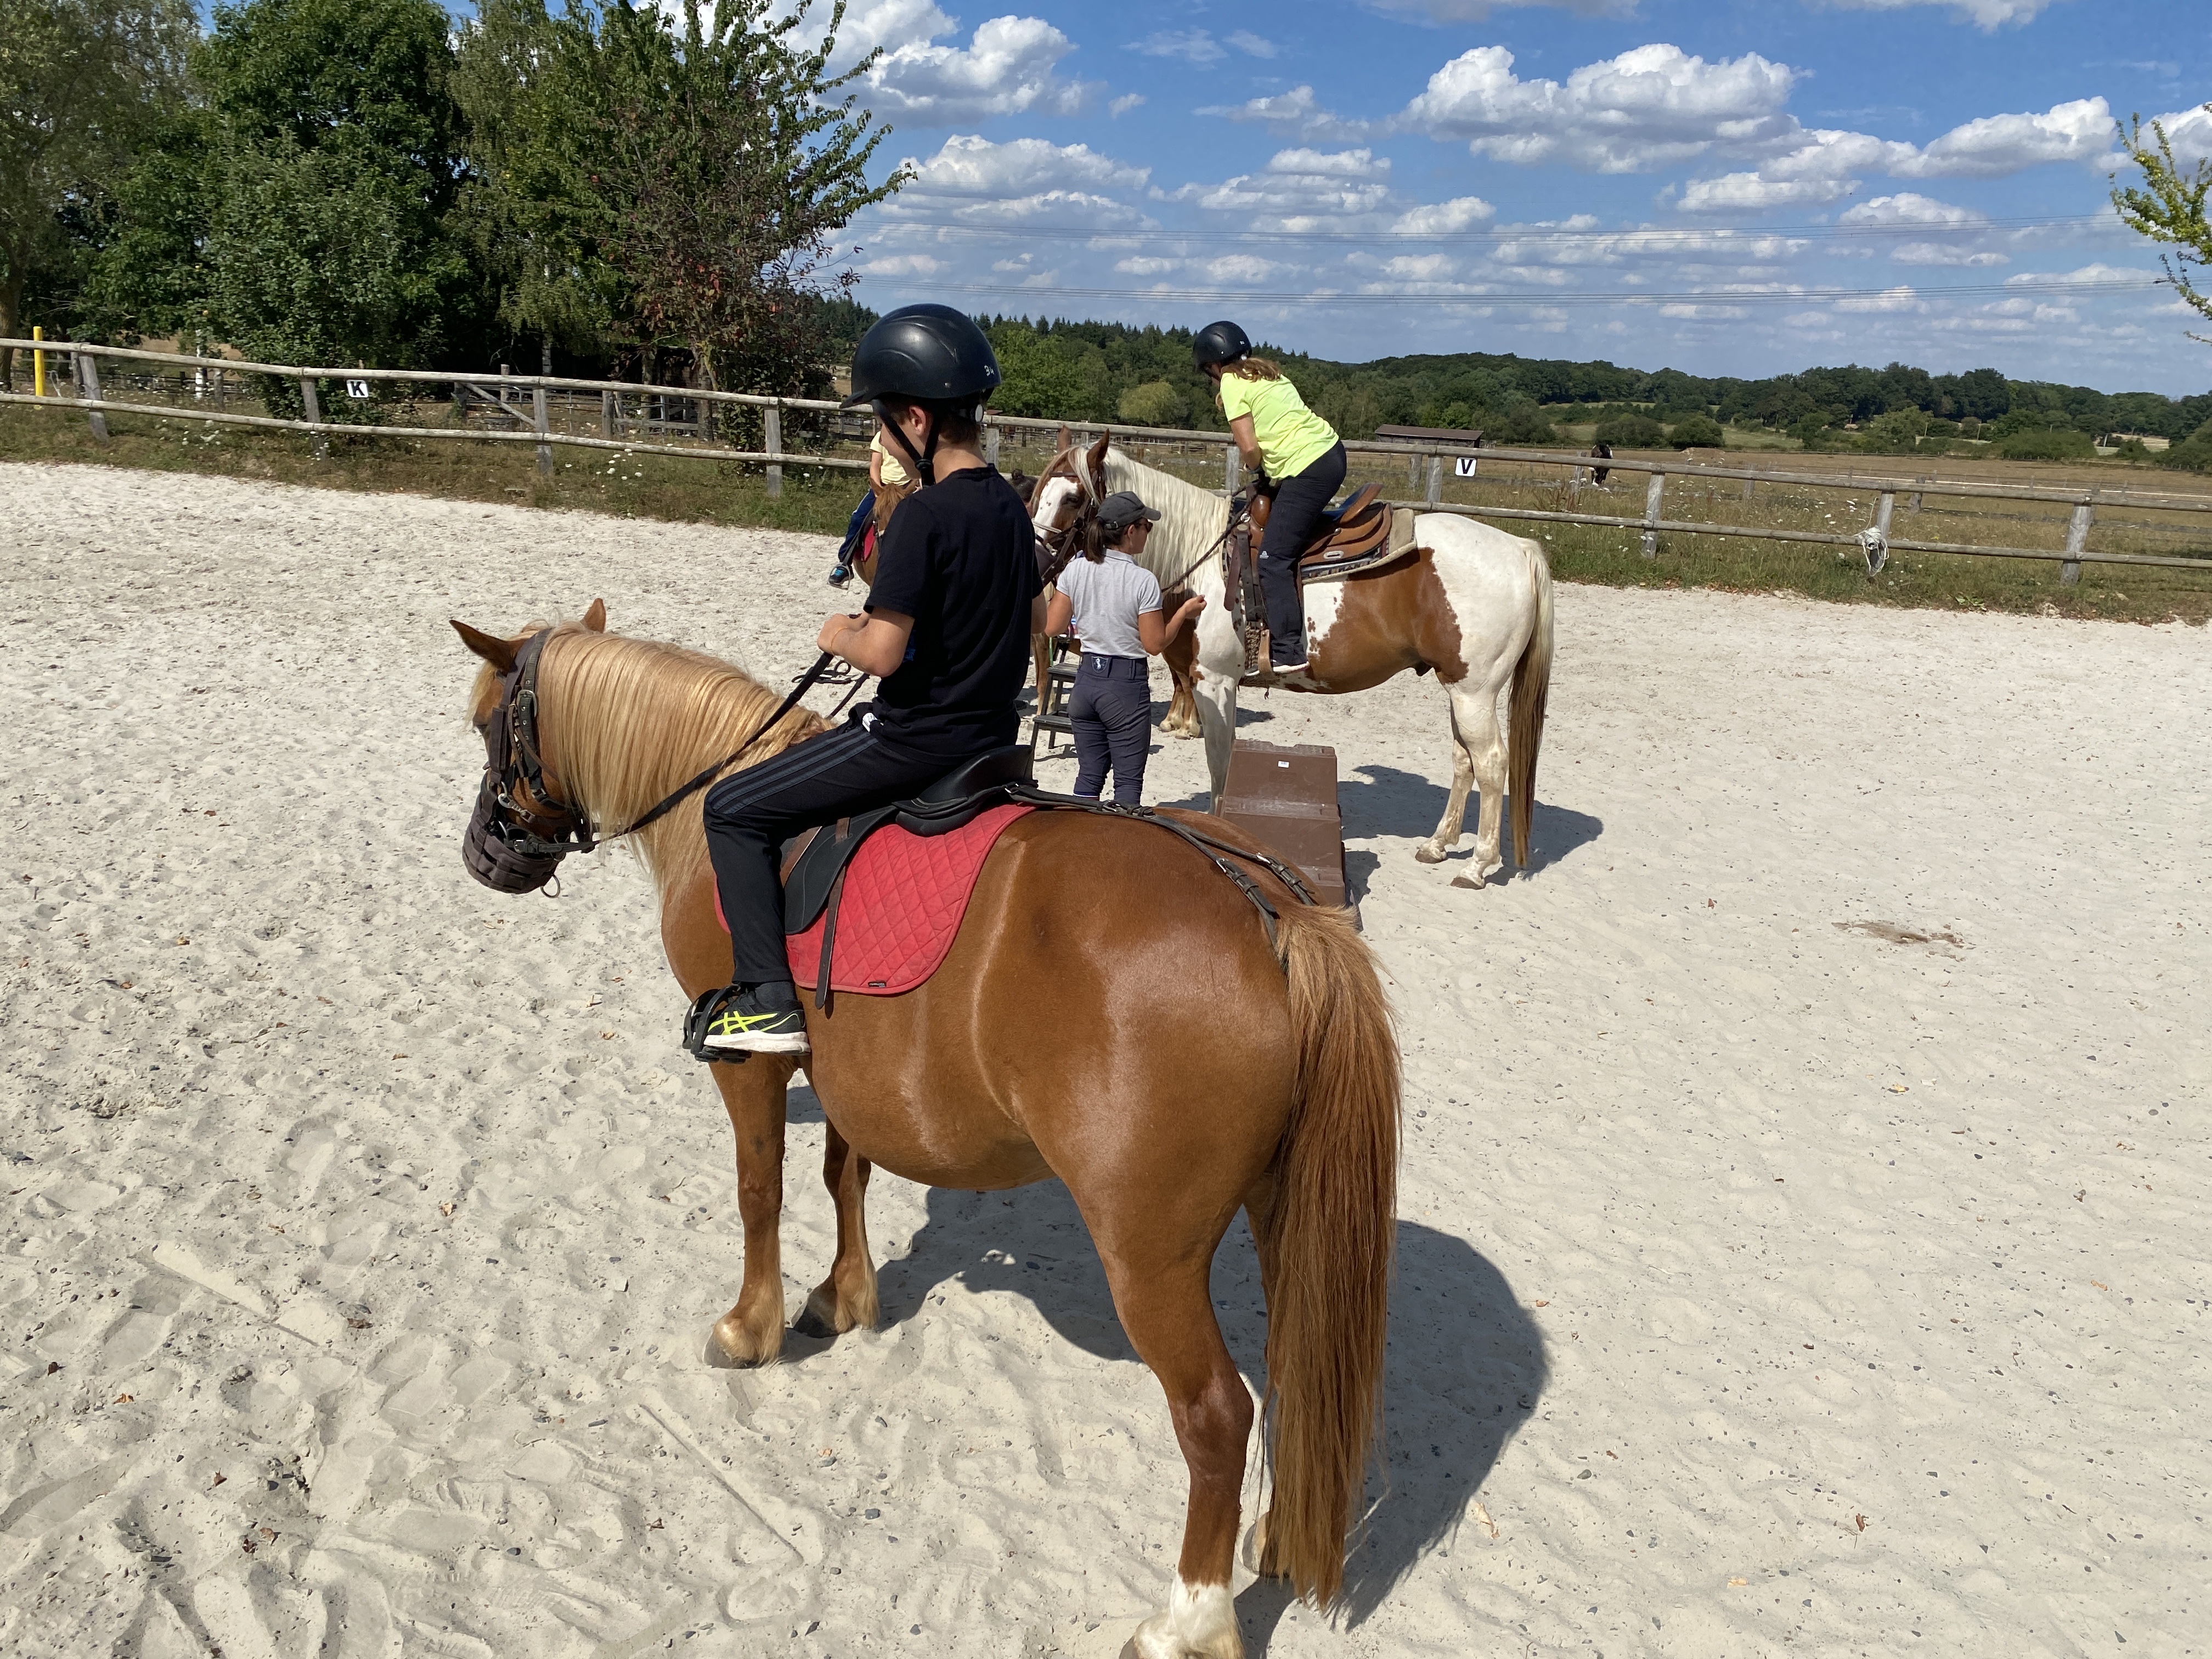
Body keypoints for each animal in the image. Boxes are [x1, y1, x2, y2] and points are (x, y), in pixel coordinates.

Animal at [449, 604, 1401, 1659]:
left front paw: (750, 1326)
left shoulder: (752, 1066)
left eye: (490, 726)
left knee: (1217, 1413)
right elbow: (844, 1174)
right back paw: (1274, 1534)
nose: (484, 854)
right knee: (1293, 1377)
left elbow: (760, 1190)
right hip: (1283, 1217)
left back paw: (1189, 1617)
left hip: (1149, 1255)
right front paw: (841, 1296)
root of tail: (1266, 908)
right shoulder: (853, 1071)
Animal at [1029, 439, 1554, 885]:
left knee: (1491, 764)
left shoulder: (1214, 683)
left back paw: (1478, 865)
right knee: (1464, 760)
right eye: (1037, 493)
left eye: (1073, 498)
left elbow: (1221, 761)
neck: (1202, 558)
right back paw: (1439, 845)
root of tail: (1520, 548)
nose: (1034, 559)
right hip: (1459, 689)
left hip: (1475, 692)